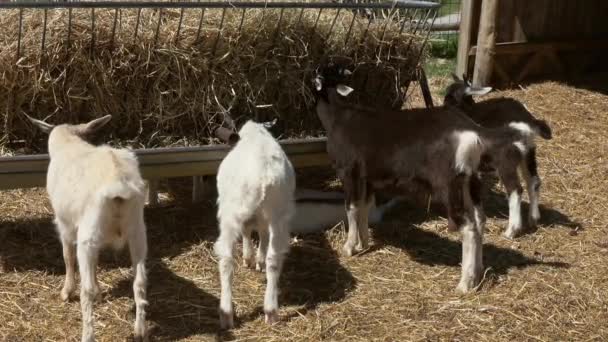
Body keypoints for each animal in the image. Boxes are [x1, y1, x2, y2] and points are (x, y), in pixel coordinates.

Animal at [24, 115, 148, 342]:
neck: (69, 143)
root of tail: (119, 185)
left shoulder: (64, 224)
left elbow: (67, 256)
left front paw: (67, 291)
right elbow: (97, 261)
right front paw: (100, 290)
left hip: (88, 235)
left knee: (86, 290)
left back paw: (87, 334)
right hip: (137, 231)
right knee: (140, 282)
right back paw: (139, 330)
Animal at [215, 119, 296, 328]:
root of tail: (263, 175)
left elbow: (247, 231)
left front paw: (248, 258)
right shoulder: (262, 216)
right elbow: (260, 232)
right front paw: (257, 259)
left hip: (230, 210)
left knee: (226, 259)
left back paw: (226, 313)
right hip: (278, 213)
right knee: (273, 259)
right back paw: (270, 311)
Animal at [314, 63, 532, 292]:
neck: (339, 117)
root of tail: (472, 131)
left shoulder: (348, 172)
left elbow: (351, 208)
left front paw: (348, 247)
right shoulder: (368, 178)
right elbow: (364, 207)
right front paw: (363, 243)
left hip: (448, 184)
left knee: (468, 227)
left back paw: (464, 284)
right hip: (468, 180)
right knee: (480, 220)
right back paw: (477, 273)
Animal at [444, 74, 552, 238]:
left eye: (450, 97)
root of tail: (528, 123)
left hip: (506, 161)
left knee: (515, 189)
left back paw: (512, 230)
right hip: (528, 153)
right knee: (533, 181)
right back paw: (533, 218)